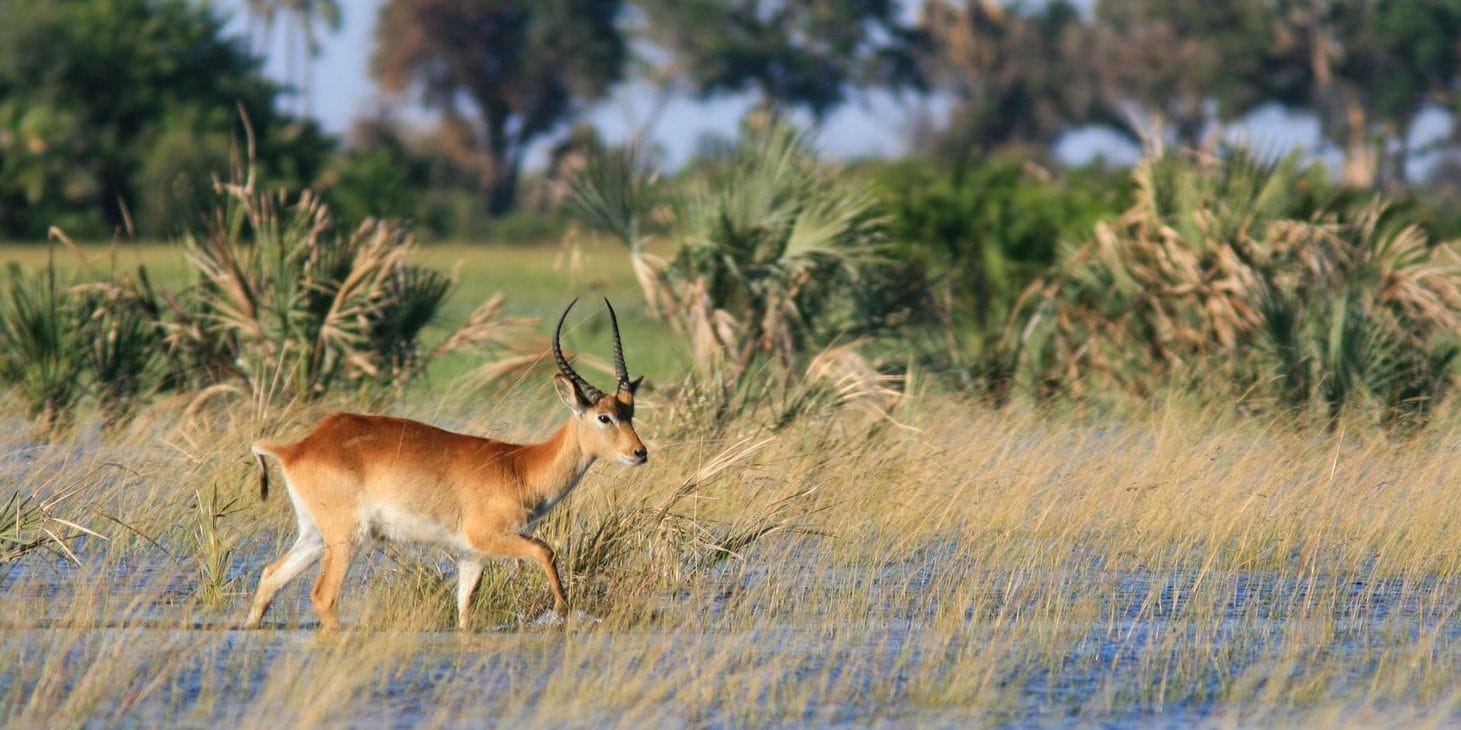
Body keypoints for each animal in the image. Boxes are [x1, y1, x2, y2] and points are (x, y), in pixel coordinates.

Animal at [243, 298, 647, 630]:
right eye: (604, 417)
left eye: (630, 411)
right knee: (322, 596)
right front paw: (564, 608)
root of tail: (299, 447)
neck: (521, 467)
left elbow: (465, 614)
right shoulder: (489, 536)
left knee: (270, 576)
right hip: (346, 537)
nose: (640, 452)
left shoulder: (472, 557)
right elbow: (545, 549)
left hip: (314, 535)